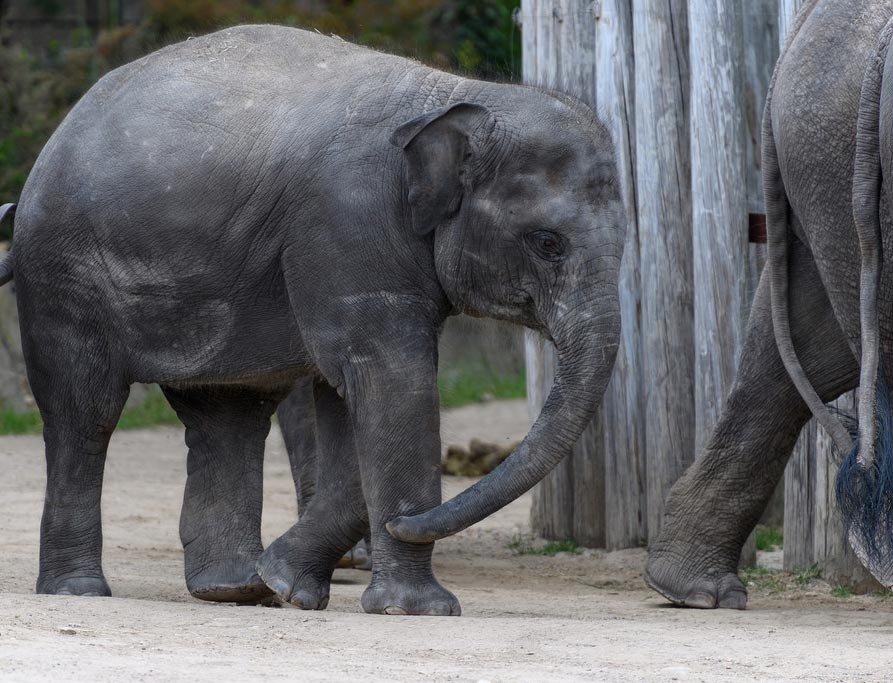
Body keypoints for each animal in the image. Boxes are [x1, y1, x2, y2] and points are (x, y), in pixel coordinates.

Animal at [8, 25, 624, 616]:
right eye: (548, 244)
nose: (406, 520)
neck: (454, 94)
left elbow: (352, 398)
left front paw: (286, 584)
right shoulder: (348, 224)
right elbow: (390, 382)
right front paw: (416, 610)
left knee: (228, 415)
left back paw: (234, 590)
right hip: (63, 271)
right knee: (85, 412)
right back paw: (79, 592)